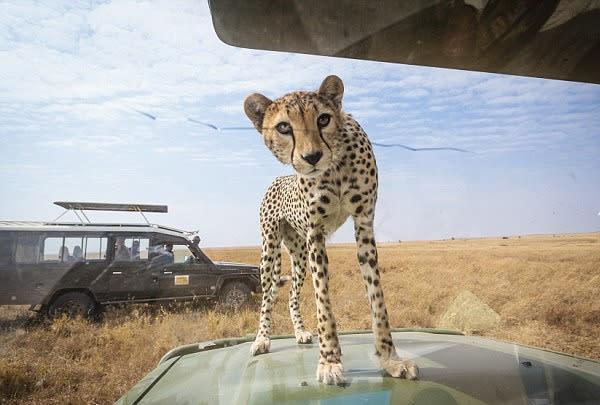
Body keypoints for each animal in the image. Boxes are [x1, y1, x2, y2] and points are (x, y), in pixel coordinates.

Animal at [243, 74, 418, 384]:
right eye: (284, 127)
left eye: (323, 119)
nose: (312, 156)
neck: (335, 167)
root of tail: (277, 179)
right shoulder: (316, 234)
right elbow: (323, 301)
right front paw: (329, 361)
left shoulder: (364, 223)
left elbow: (377, 298)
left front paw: (389, 359)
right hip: (270, 250)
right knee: (268, 295)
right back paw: (262, 339)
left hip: (299, 256)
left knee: (292, 295)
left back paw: (300, 332)